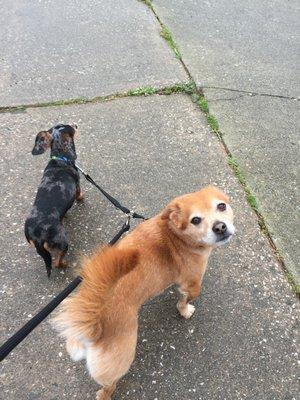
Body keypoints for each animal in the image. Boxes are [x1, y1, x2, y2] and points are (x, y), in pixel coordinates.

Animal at [54, 186, 237, 398]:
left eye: (221, 206)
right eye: (195, 220)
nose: (220, 227)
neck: (175, 234)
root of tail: (94, 321)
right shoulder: (192, 284)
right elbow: (185, 300)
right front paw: (185, 310)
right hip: (121, 360)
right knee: (109, 385)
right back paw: (105, 394)